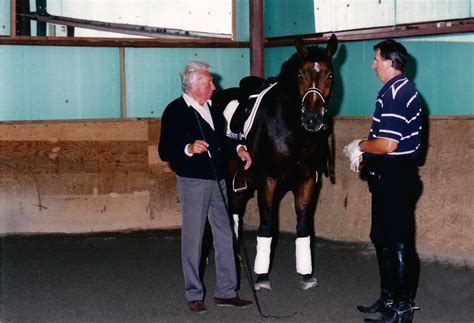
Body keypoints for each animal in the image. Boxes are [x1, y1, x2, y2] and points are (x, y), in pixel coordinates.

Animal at [213, 34, 338, 292]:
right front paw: (262, 277)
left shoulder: (306, 181)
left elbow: (304, 227)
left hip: (241, 182)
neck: (292, 131)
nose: (312, 119)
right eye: (300, 75)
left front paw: (306, 274)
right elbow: (267, 226)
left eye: (330, 75)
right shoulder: (268, 181)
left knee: (235, 210)